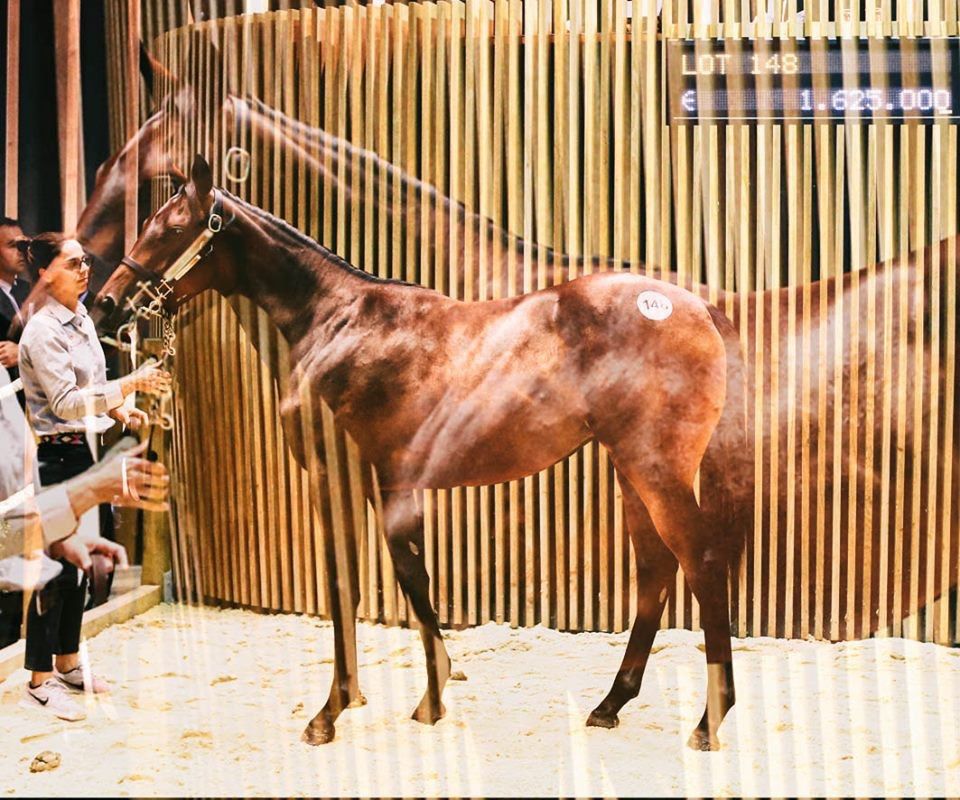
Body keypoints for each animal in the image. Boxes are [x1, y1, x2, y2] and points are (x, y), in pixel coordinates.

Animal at [94, 153, 748, 750]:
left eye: (172, 227)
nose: (107, 303)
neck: (337, 325)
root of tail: (696, 307)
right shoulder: (375, 482)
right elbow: (390, 583)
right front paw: (403, 697)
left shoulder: (348, 477)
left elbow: (370, 584)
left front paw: (349, 710)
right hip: (629, 470)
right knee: (656, 570)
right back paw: (611, 704)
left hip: (654, 469)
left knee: (700, 564)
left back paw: (707, 722)